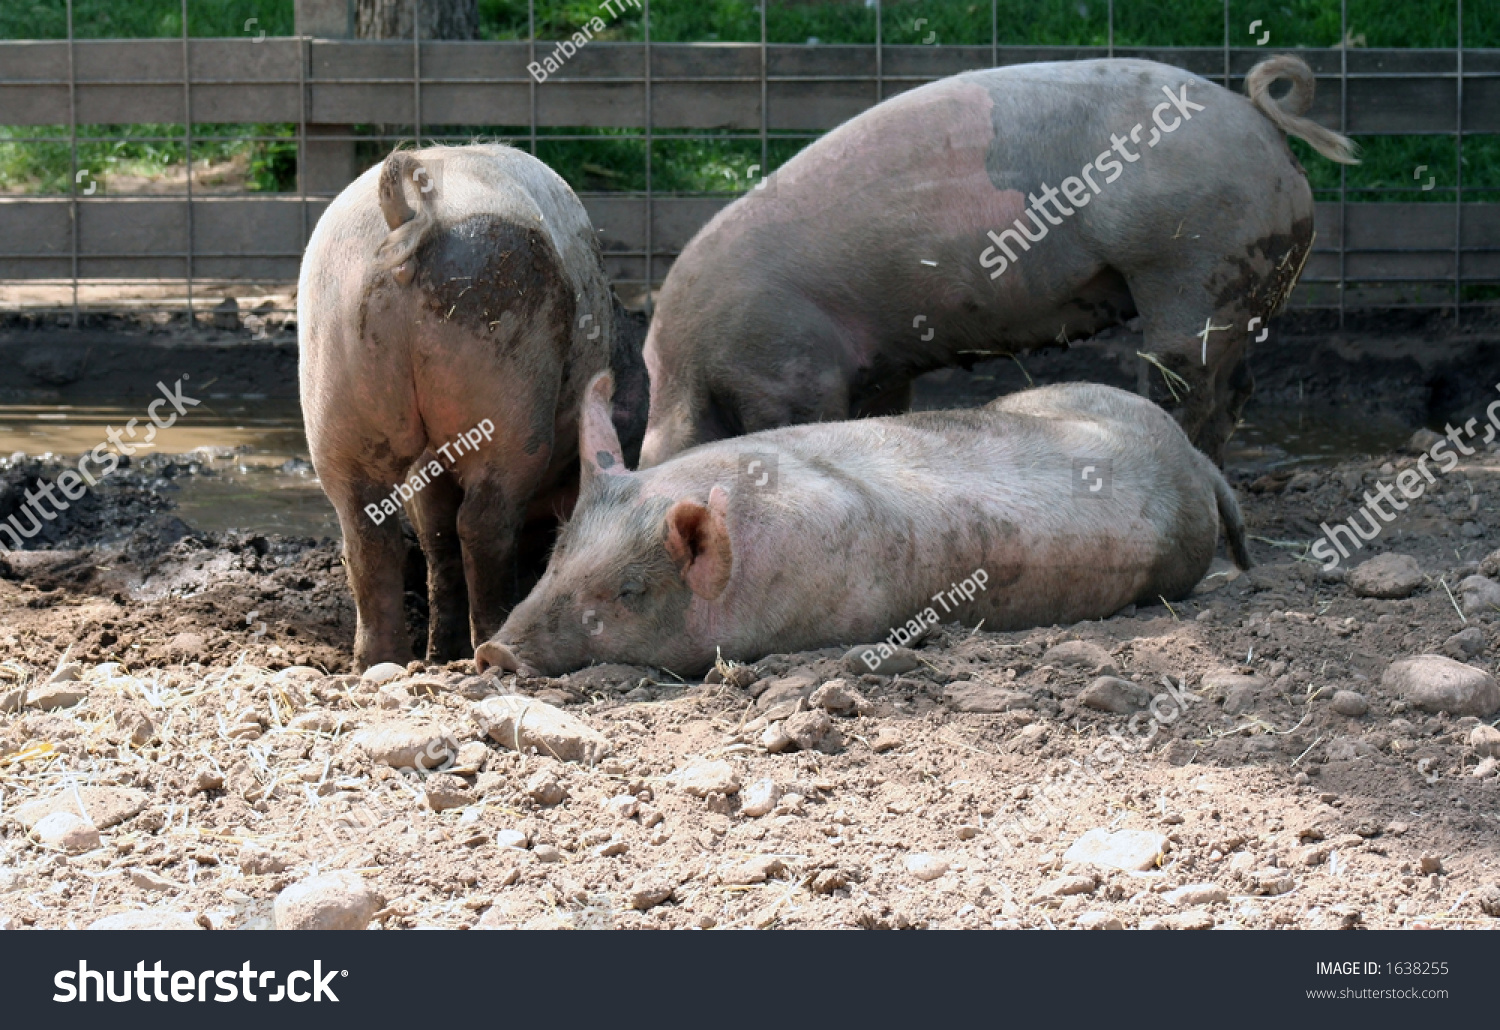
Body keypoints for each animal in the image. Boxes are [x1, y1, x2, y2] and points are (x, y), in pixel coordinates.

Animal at [298, 145, 645, 671]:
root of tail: (412, 212)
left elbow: (434, 535)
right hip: (510, 384)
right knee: (484, 523)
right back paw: (485, 645)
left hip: (334, 385)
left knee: (371, 532)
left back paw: (387, 663)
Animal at [645, 56, 1362, 467]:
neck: (688, 372)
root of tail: (1259, 119)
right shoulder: (875, 372)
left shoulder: (785, 363)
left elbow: (795, 426)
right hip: (1244, 281)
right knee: (1237, 387)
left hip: (1187, 265)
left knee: (1187, 383)